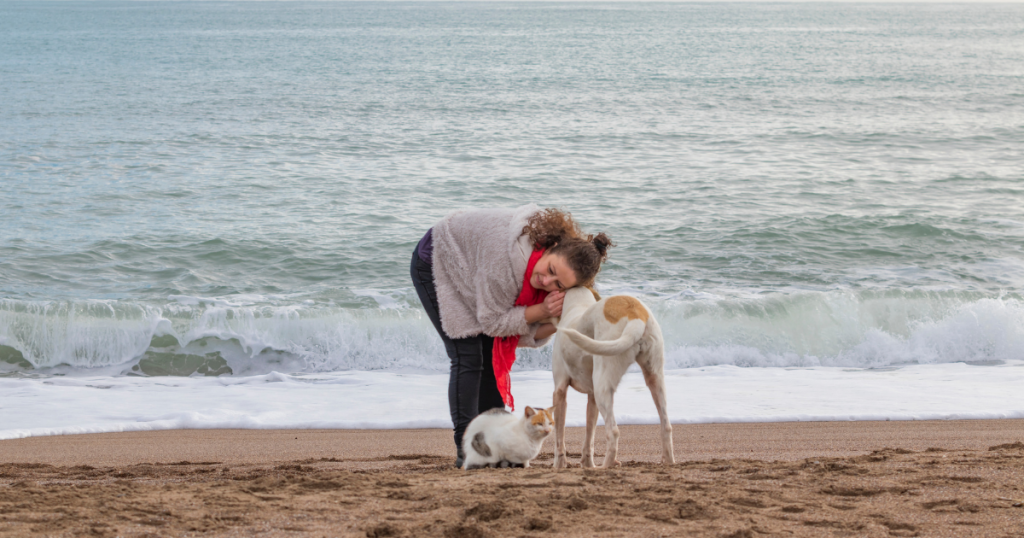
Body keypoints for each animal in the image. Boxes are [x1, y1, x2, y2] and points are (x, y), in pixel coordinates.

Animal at [552, 286, 671, 467]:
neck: (577, 302)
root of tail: (636, 315)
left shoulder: (560, 391)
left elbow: (559, 439)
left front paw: (558, 465)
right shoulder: (592, 398)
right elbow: (589, 438)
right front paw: (587, 465)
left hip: (602, 386)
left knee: (613, 431)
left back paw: (605, 466)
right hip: (655, 378)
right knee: (666, 426)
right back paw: (668, 461)